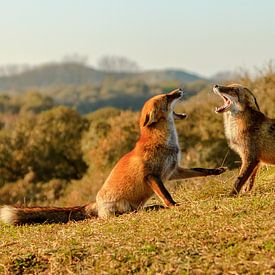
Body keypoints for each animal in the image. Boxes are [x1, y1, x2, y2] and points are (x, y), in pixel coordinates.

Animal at [0, 89, 226, 225]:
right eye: (167, 98)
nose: (179, 90)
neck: (164, 142)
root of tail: (95, 202)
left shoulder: (173, 171)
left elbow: (200, 171)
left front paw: (217, 170)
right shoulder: (152, 175)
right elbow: (167, 195)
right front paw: (175, 206)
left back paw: (153, 207)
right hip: (124, 207)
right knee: (130, 213)